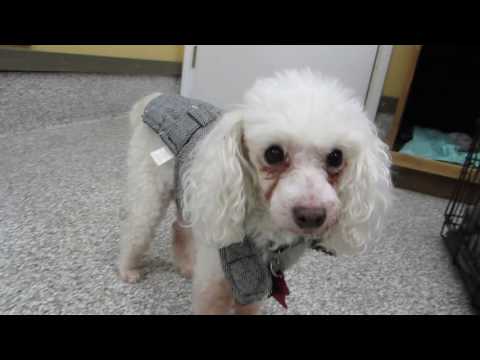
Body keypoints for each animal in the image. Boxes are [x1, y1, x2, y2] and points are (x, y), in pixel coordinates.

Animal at [118, 69, 392, 314]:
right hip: (150, 194)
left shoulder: (259, 287)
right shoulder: (214, 284)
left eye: (336, 157)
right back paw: (127, 270)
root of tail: (155, 97)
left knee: (179, 228)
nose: (312, 216)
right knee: (137, 231)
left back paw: (186, 265)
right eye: (274, 153)